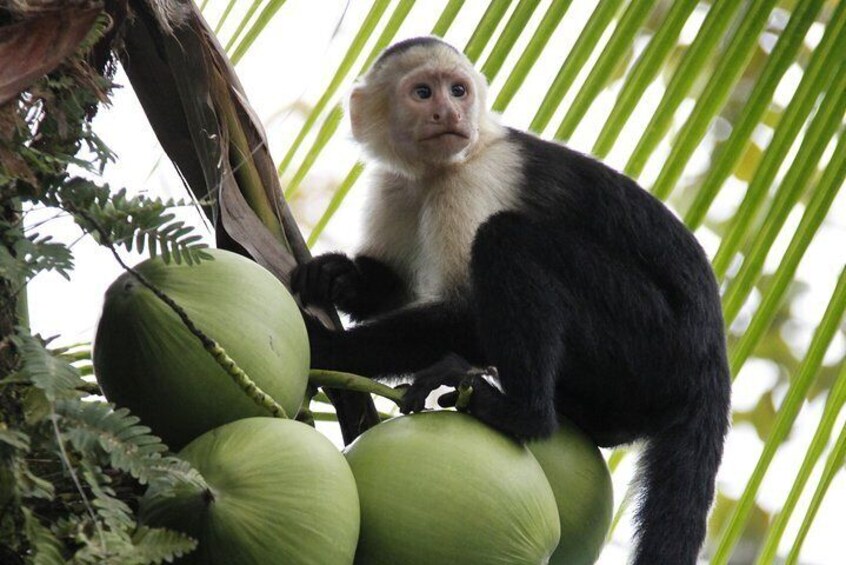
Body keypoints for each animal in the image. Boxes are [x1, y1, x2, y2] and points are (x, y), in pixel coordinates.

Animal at [294, 36, 732, 564]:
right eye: (422, 92)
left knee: (508, 239)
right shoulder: (395, 184)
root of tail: (713, 359)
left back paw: (524, 413)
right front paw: (333, 275)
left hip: (655, 339)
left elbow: (467, 315)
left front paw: (329, 350)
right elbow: (393, 285)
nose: (448, 112)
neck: (442, 169)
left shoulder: (478, 177)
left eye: (458, 90)